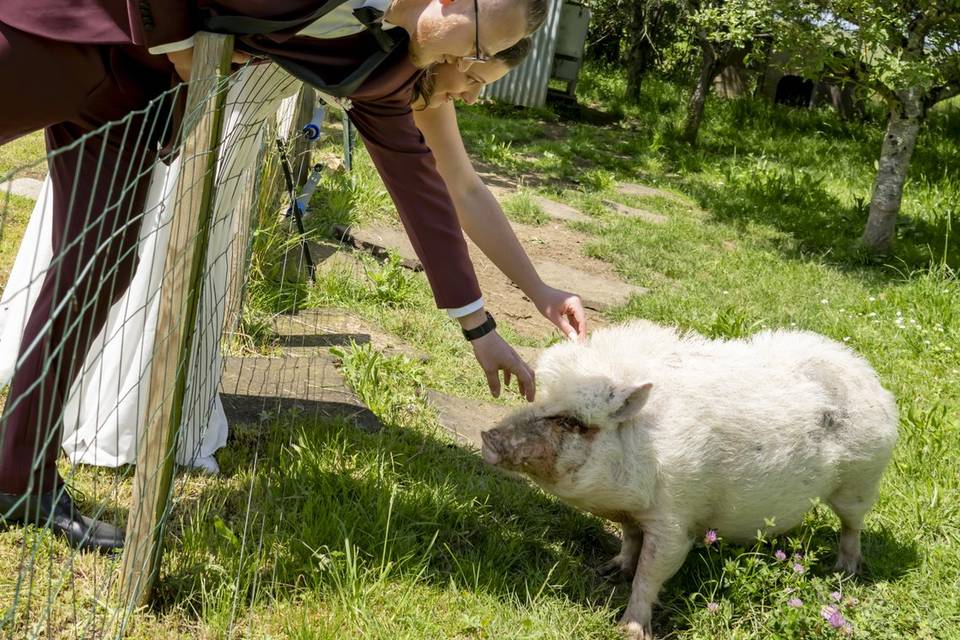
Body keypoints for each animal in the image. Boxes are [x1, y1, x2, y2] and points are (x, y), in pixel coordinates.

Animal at [484, 320, 896, 640]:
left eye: (574, 423)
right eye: (538, 402)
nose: (488, 437)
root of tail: (873, 379)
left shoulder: (674, 521)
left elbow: (650, 573)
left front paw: (629, 630)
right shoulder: (632, 515)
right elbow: (630, 542)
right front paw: (609, 571)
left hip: (861, 481)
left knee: (852, 527)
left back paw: (843, 571)